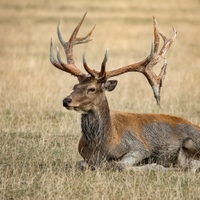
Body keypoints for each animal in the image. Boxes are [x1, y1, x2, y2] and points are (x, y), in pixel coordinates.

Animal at [49, 12, 200, 172]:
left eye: (92, 88)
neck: (102, 146)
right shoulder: (85, 157)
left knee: (194, 163)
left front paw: (155, 166)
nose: (66, 100)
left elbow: (120, 164)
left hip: (192, 140)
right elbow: (83, 164)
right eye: (75, 86)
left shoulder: (139, 147)